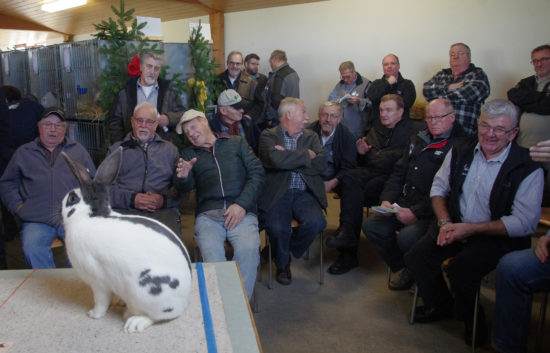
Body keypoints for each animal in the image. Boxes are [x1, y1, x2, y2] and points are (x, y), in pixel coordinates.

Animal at [60, 147, 193, 332]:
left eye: (72, 198)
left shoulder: (98, 282)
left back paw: (133, 322)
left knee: (156, 317)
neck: (88, 217)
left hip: (146, 291)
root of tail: (184, 301)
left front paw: (93, 314)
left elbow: (101, 302)